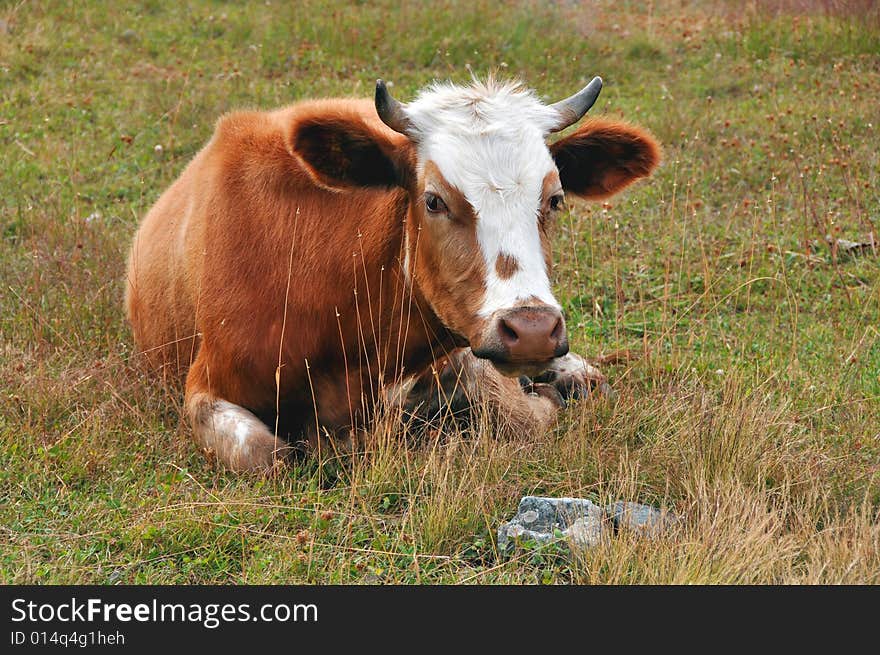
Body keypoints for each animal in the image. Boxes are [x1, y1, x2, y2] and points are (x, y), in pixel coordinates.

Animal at [125, 75, 660, 472]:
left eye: (555, 198)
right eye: (433, 200)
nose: (532, 330)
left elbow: (514, 410)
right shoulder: (206, 384)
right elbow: (268, 456)